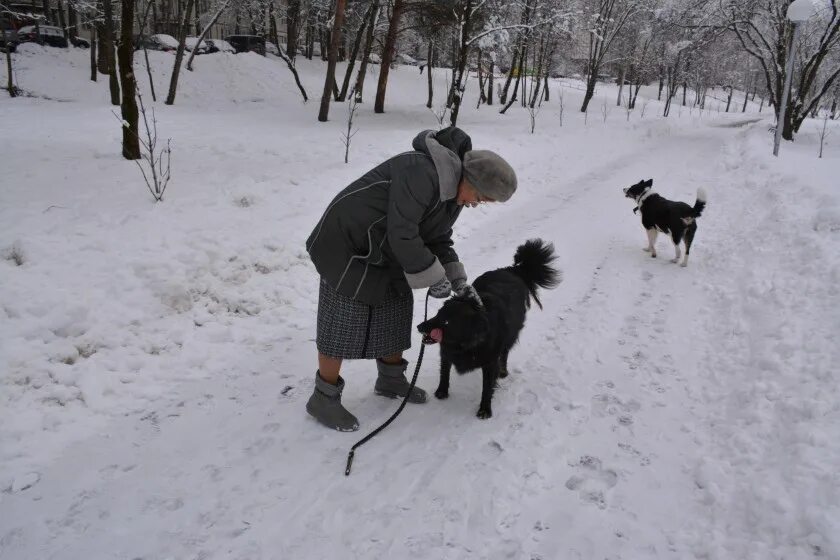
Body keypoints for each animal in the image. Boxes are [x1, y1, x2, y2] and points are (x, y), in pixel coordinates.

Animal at [414, 238, 556, 418]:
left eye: (446, 322)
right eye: (438, 314)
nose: (419, 326)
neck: (465, 344)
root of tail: (511, 270)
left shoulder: (489, 362)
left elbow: (487, 388)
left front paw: (484, 409)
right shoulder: (446, 353)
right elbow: (444, 373)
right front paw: (442, 392)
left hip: (509, 336)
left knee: (505, 353)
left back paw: (503, 371)